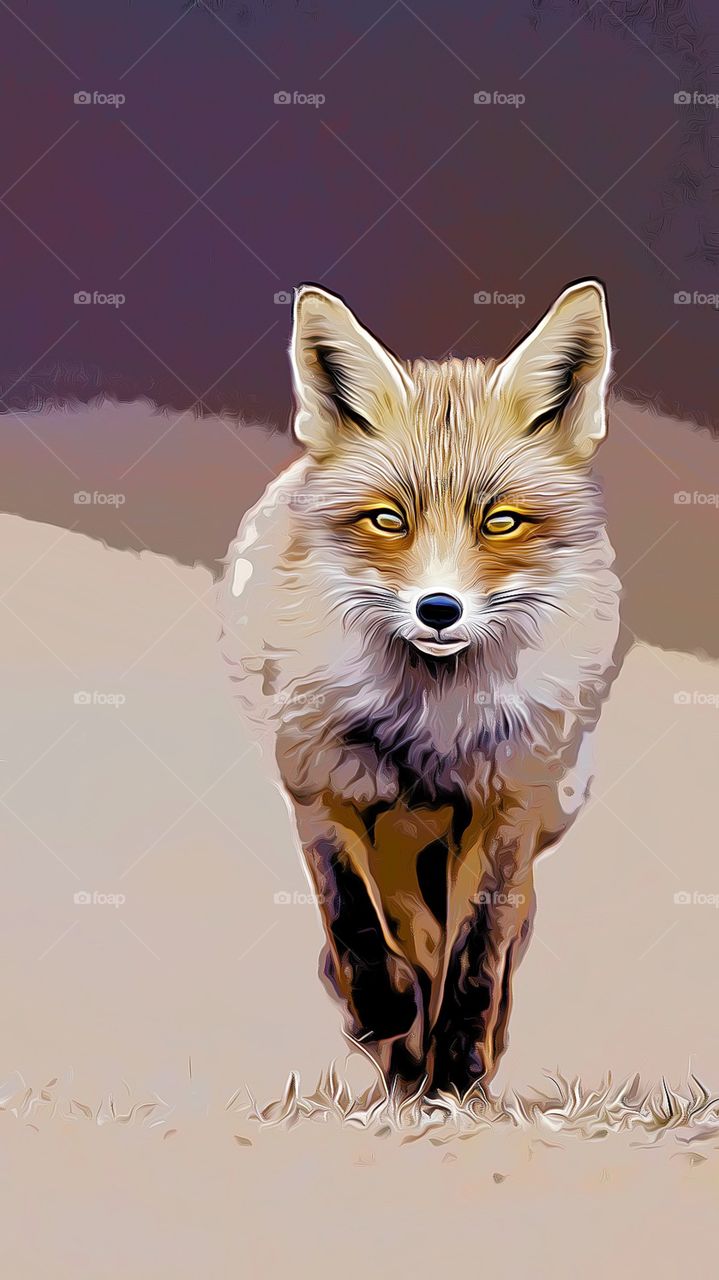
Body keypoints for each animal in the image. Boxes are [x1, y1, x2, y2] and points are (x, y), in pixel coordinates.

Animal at [219, 280, 621, 1098]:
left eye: (500, 522)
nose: (439, 609)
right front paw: (385, 1017)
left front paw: (459, 1072)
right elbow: (354, 924)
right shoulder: (322, 788)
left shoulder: (507, 809)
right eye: (387, 519)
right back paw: (397, 1058)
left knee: (490, 945)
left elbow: (475, 958)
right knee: (402, 936)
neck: (430, 721)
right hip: (403, 838)